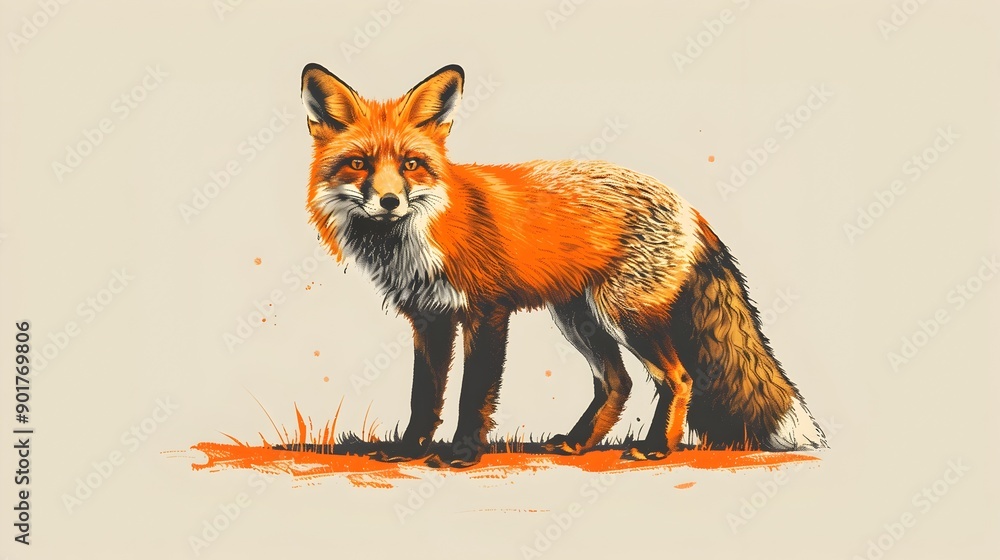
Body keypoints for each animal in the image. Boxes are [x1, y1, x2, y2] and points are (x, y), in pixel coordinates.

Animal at [299, 63, 827, 467]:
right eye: (359, 164)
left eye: (410, 164)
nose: (389, 201)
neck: (418, 235)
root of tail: (688, 206)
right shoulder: (429, 317)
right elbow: (424, 396)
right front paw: (408, 450)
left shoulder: (487, 311)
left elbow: (473, 394)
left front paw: (463, 454)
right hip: (580, 319)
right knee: (618, 382)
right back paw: (577, 442)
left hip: (625, 315)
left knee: (678, 378)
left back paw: (656, 447)